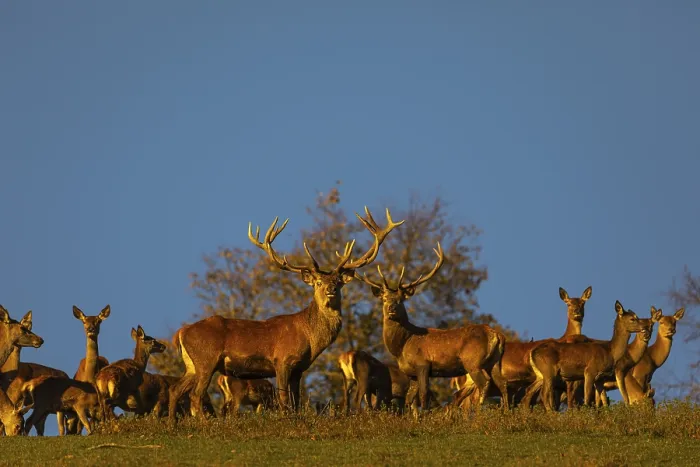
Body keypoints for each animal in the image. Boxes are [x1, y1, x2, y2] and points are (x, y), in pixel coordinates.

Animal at [168, 207, 403, 422]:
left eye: (337, 282)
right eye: (318, 282)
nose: (330, 290)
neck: (310, 338)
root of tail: (181, 333)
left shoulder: (299, 369)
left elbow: (296, 401)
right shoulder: (282, 360)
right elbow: (283, 400)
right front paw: (285, 420)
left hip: (191, 364)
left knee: (175, 390)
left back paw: (172, 423)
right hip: (206, 360)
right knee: (195, 395)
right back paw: (204, 422)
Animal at [355, 243, 509, 411]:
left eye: (401, 300)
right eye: (384, 299)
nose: (391, 308)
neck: (402, 346)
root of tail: (497, 335)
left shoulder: (423, 364)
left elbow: (423, 395)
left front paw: (425, 415)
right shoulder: (411, 373)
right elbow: (410, 399)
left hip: (473, 361)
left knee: (484, 383)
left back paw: (478, 412)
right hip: (494, 361)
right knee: (502, 383)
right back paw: (505, 411)